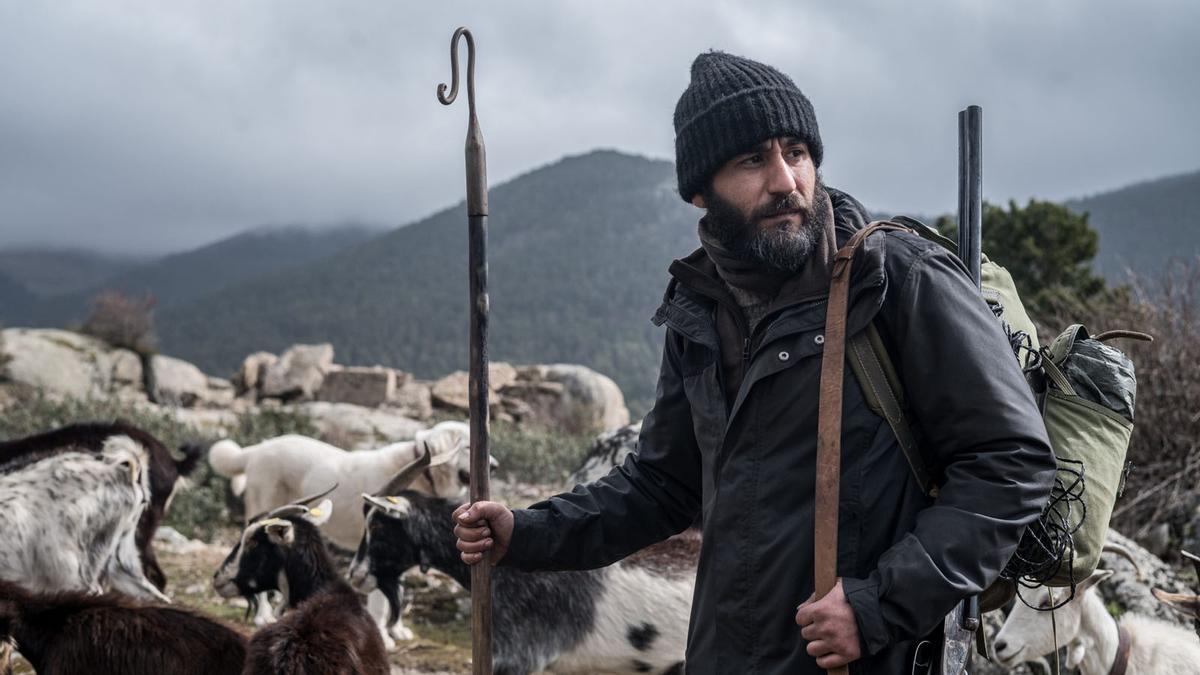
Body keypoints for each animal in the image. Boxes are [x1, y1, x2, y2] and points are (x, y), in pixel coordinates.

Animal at [208, 417, 480, 643]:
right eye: (466, 447)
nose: (490, 464)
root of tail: (256, 450)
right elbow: (380, 600)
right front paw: (384, 636)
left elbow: (397, 589)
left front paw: (397, 629)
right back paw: (262, 614)